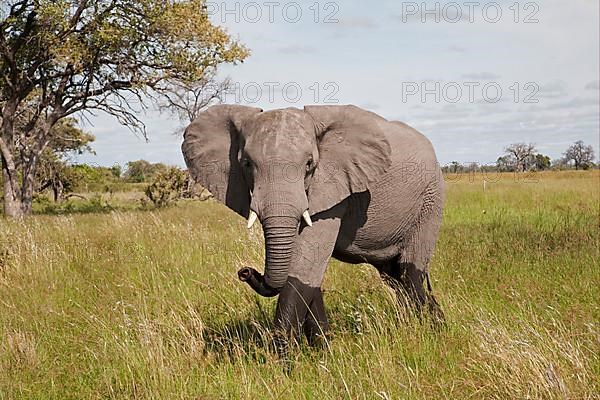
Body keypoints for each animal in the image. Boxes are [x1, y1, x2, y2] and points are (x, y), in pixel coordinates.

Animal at [183, 105, 446, 354]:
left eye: (309, 164)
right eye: (246, 164)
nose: (245, 271)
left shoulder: (334, 188)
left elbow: (305, 265)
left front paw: (284, 363)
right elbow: (307, 270)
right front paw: (323, 351)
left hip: (430, 201)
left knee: (410, 274)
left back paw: (431, 329)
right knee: (393, 277)